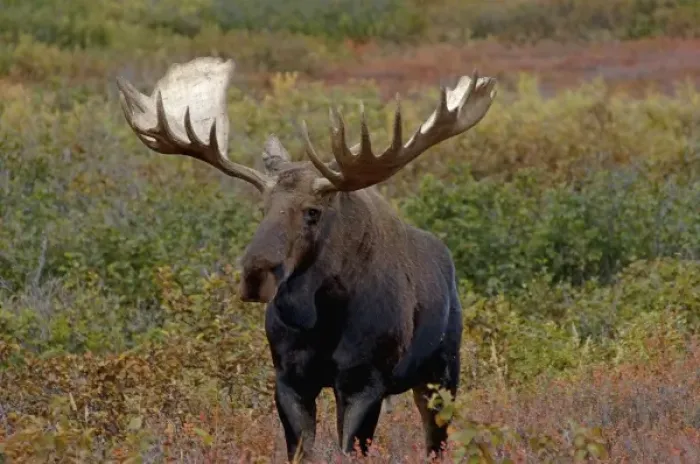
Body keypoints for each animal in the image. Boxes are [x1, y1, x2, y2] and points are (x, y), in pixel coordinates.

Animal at [116, 56, 497, 461]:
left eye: (313, 211)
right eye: (263, 207)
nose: (256, 275)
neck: (323, 316)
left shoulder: (364, 381)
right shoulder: (289, 378)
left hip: (442, 372)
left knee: (436, 442)